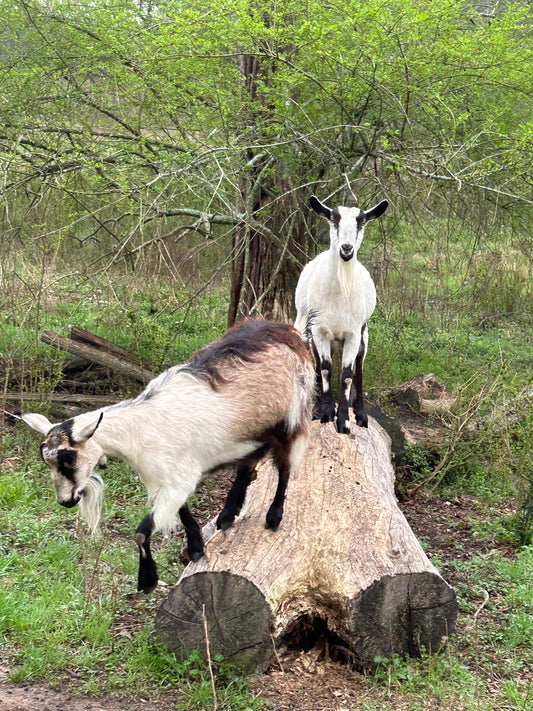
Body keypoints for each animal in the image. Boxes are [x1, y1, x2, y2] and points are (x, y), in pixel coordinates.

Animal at [22, 320, 314, 592]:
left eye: (69, 459)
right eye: (47, 461)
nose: (65, 501)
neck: (141, 429)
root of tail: (289, 331)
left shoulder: (179, 479)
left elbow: (142, 532)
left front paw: (148, 580)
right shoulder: (167, 479)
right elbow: (183, 513)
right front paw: (196, 549)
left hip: (292, 418)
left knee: (285, 467)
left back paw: (273, 517)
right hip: (253, 432)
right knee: (248, 464)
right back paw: (227, 516)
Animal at [296, 192, 386, 434]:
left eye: (361, 221)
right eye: (333, 219)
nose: (346, 249)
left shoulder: (353, 333)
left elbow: (347, 376)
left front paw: (344, 420)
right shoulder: (319, 331)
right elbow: (326, 369)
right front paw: (326, 412)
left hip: (364, 335)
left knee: (359, 369)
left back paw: (361, 415)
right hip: (308, 332)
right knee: (317, 365)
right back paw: (318, 407)